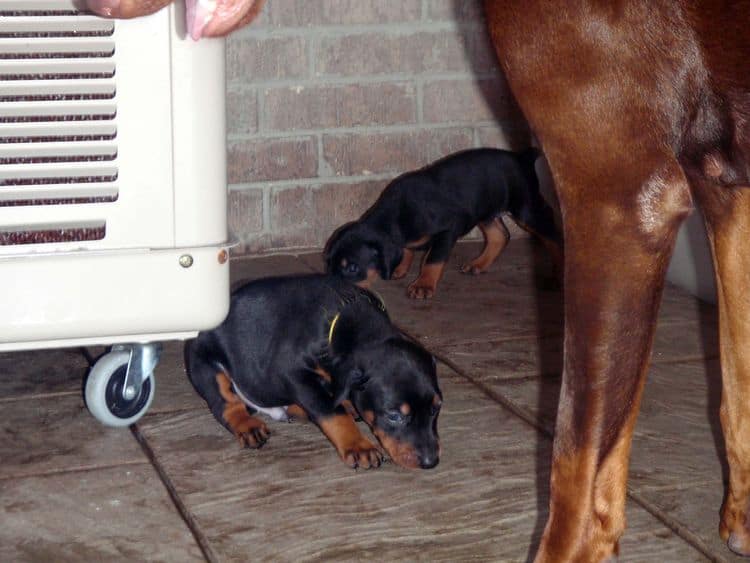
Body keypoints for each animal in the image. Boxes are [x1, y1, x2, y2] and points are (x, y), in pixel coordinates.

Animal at [186, 274, 444, 472]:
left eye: (435, 409)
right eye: (394, 415)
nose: (430, 462)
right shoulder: (295, 373)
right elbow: (331, 411)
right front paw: (358, 446)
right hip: (206, 364)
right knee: (226, 404)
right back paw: (247, 425)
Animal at [326, 149, 560, 300]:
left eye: (352, 267)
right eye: (328, 264)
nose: (328, 293)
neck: (395, 215)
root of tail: (521, 158)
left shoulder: (447, 231)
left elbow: (433, 259)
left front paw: (423, 285)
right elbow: (407, 249)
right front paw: (400, 268)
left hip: (526, 209)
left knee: (552, 234)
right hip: (485, 211)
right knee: (500, 236)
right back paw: (478, 264)